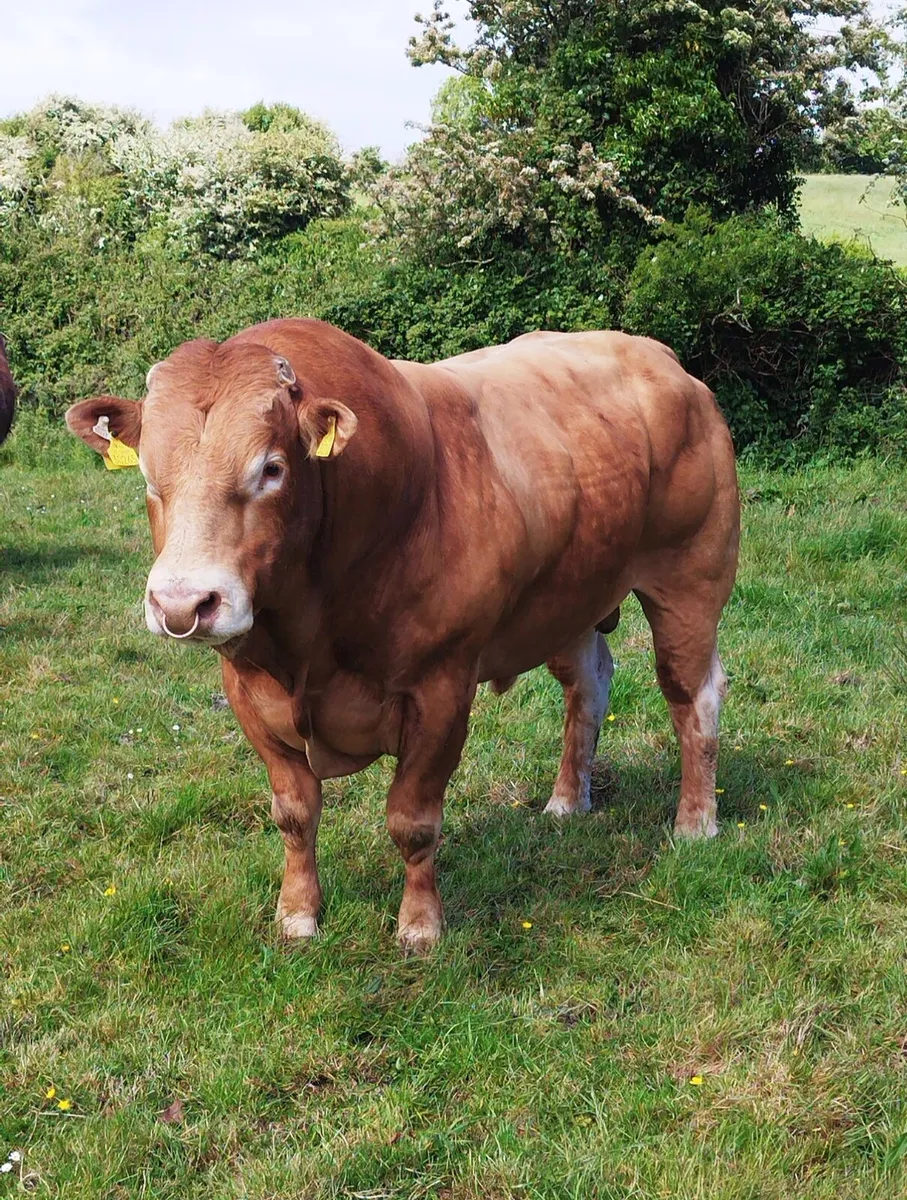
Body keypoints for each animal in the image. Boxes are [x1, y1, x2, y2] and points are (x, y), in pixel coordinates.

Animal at [66, 319, 739, 952]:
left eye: (272, 468)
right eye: (148, 474)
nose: (182, 603)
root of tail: (661, 358)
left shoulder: (441, 688)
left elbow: (412, 820)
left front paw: (419, 926)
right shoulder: (247, 690)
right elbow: (294, 815)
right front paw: (297, 916)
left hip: (689, 580)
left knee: (693, 693)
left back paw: (695, 822)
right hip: (571, 596)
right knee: (589, 685)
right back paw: (568, 801)